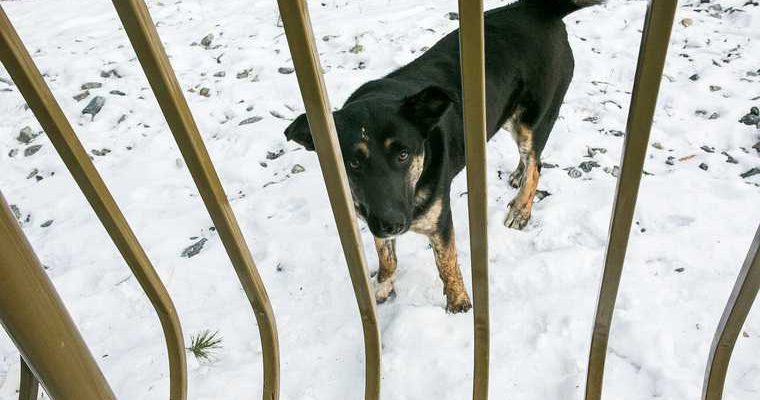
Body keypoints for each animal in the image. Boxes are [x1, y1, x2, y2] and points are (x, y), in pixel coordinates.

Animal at [282, 0, 604, 312]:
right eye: (353, 162)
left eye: (403, 154)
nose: (392, 224)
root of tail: (539, 9)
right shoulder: (371, 215)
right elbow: (387, 256)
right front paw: (384, 284)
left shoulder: (441, 221)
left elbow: (446, 264)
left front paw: (459, 303)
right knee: (529, 159)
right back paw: (517, 174)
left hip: (533, 120)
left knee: (536, 165)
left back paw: (521, 210)